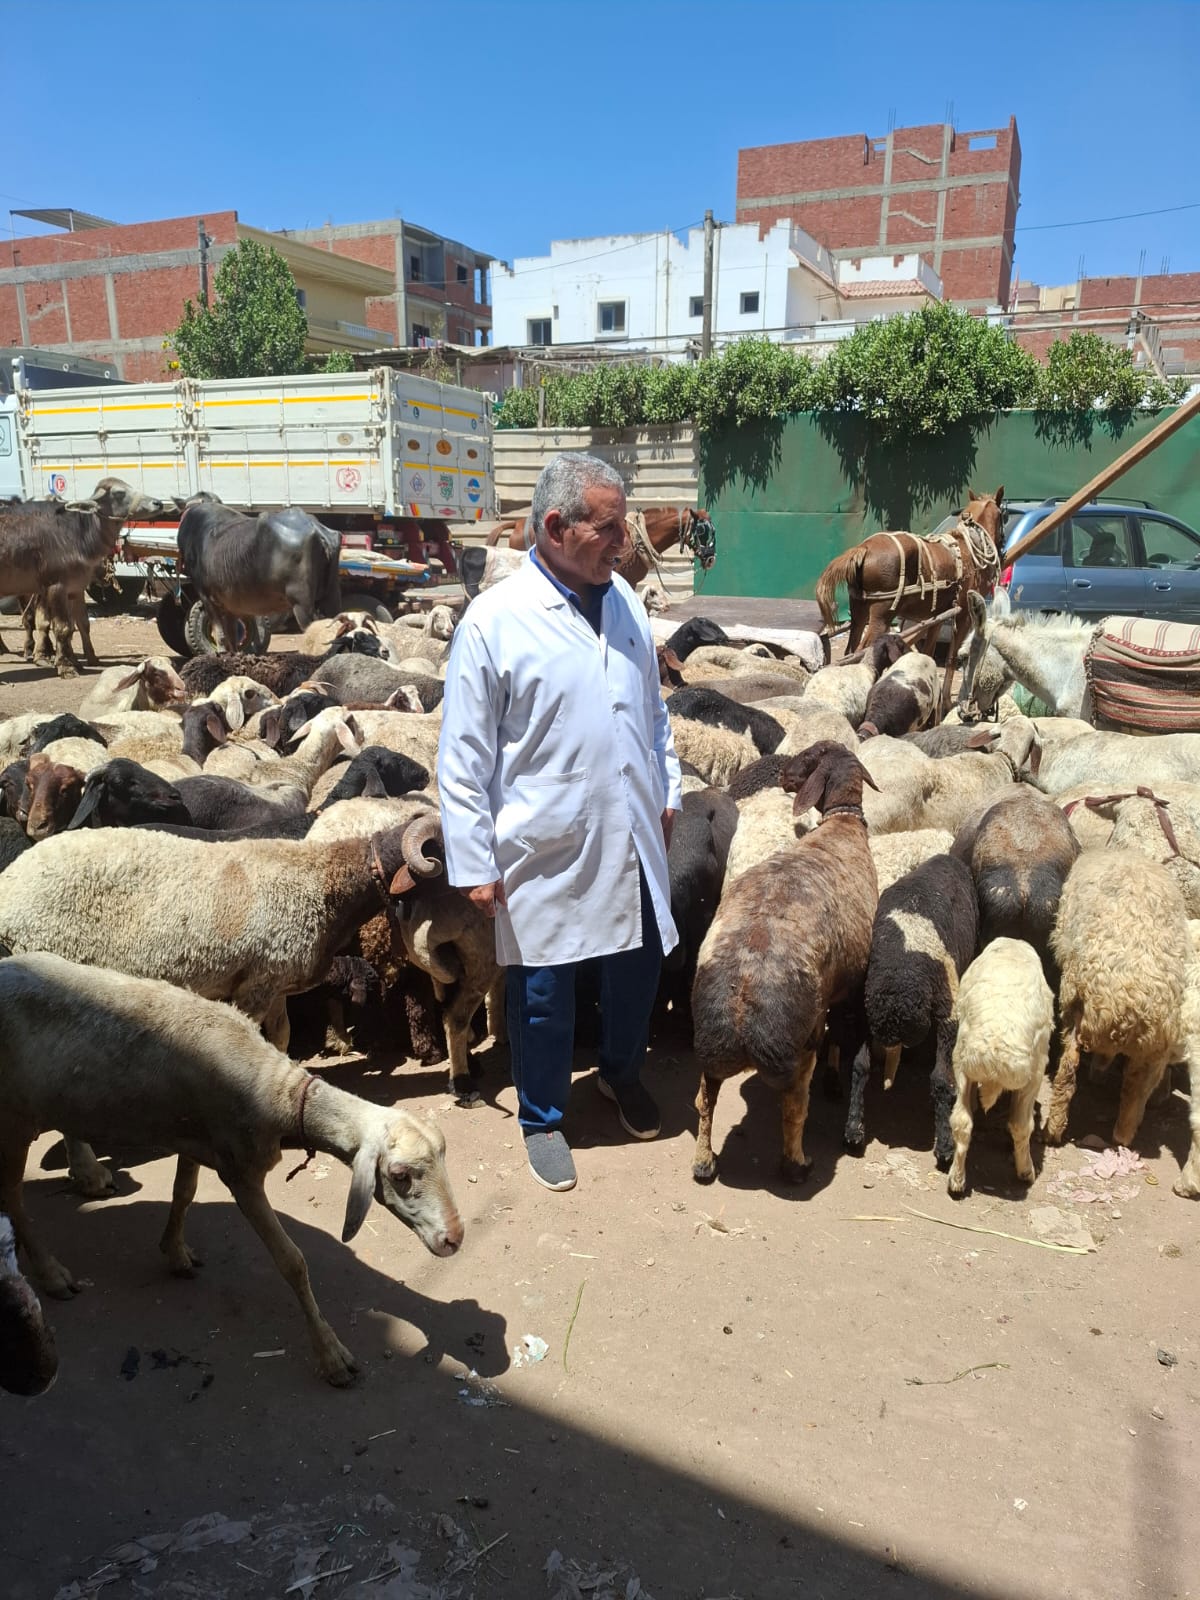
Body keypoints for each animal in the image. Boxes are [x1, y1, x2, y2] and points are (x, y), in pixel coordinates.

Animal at [691, 741, 879, 1184]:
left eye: (810, 758)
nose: (781, 775)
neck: (842, 825)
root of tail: (742, 989)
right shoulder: (848, 988)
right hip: (797, 1047)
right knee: (794, 1109)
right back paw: (797, 1164)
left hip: (709, 1042)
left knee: (706, 1097)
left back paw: (704, 1161)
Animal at [845, 853, 979, 1164]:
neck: (901, 962)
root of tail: (947, 857)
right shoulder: (864, 1013)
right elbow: (859, 1066)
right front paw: (854, 1129)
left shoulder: (949, 1015)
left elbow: (942, 1080)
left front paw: (945, 1146)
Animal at [946, 938, 1054, 1197]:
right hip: (1034, 1073)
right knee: (1020, 1125)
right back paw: (1026, 1171)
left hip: (962, 1061)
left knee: (962, 1122)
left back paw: (957, 1179)